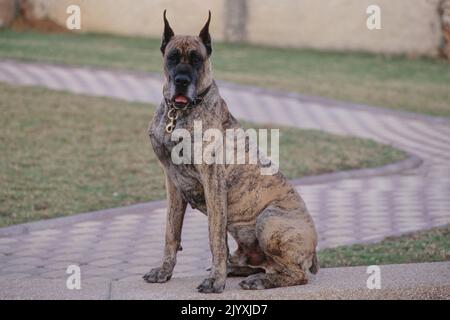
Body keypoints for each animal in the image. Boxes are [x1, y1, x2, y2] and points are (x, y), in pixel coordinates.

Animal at [145, 11, 320, 294]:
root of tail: (314, 251)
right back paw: (238, 270)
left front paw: (216, 282)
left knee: (296, 274)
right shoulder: (172, 183)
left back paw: (257, 280)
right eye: (172, 57)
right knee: (260, 264)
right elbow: (171, 233)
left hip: (269, 220)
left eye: (197, 59)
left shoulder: (213, 182)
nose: (182, 81)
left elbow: (215, 237)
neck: (178, 113)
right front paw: (164, 271)